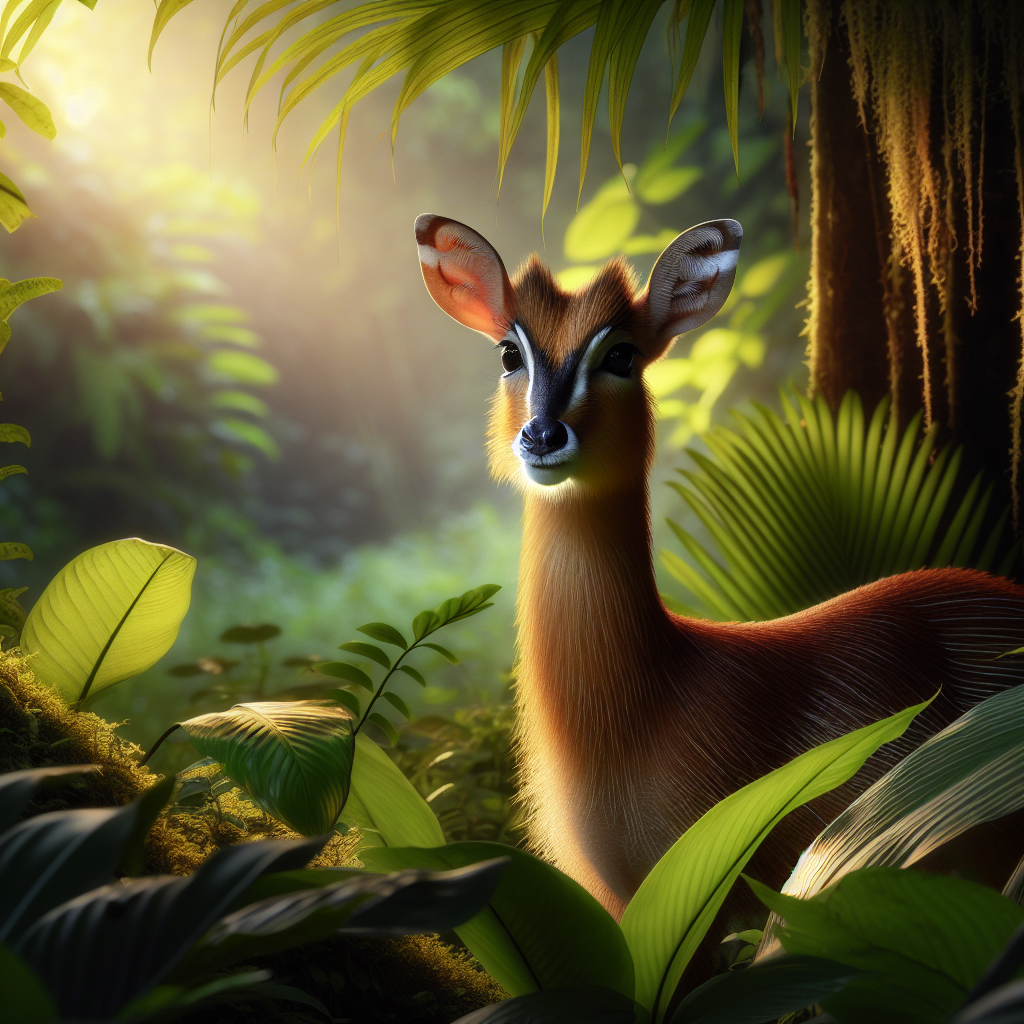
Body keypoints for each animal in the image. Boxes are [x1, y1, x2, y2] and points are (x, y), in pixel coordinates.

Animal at [414, 214, 1024, 977]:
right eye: (507, 352)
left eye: (622, 354)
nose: (543, 434)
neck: (647, 704)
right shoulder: (621, 894)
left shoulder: (696, 881)